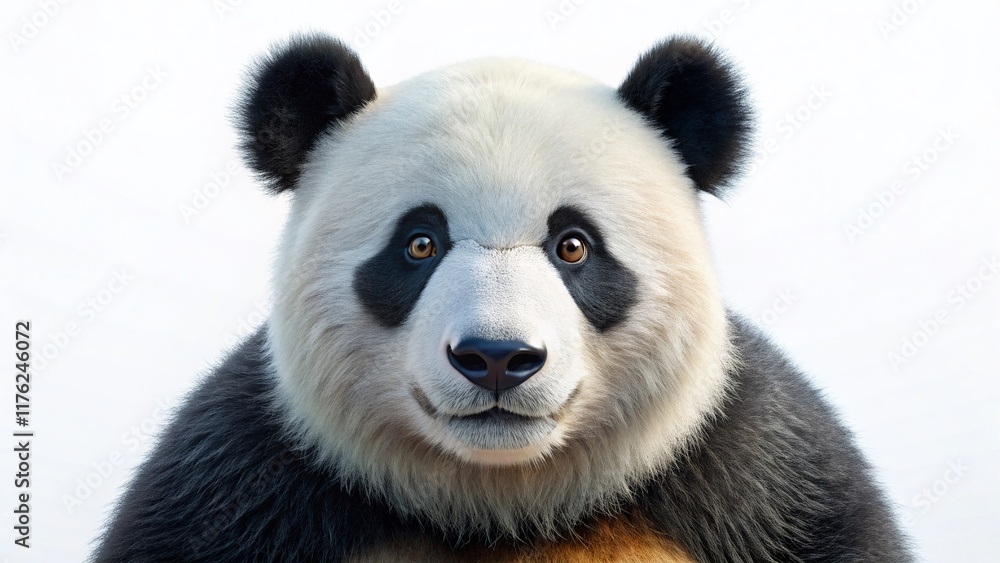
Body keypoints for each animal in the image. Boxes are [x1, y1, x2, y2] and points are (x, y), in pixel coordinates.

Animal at [94, 34, 911, 562]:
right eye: (419, 244)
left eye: (573, 245)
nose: (496, 357)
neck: (504, 506)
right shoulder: (244, 490)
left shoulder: (760, 484)